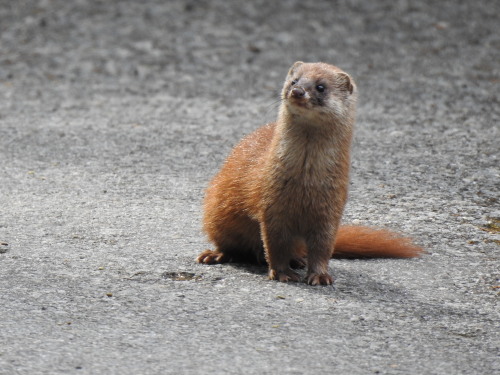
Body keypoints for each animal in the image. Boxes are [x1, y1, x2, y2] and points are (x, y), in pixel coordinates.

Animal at [195, 61, 422, 286]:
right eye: (294, 81)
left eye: (321, 86)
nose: (297, 91)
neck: (306, 181)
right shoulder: (271, 204)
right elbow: (275, 244)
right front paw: (282, 273)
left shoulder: (331, 208)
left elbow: (323, 247)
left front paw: (320, 276)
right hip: (217, 213)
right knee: (229, 245)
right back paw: (214, 255)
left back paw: (297, 260)